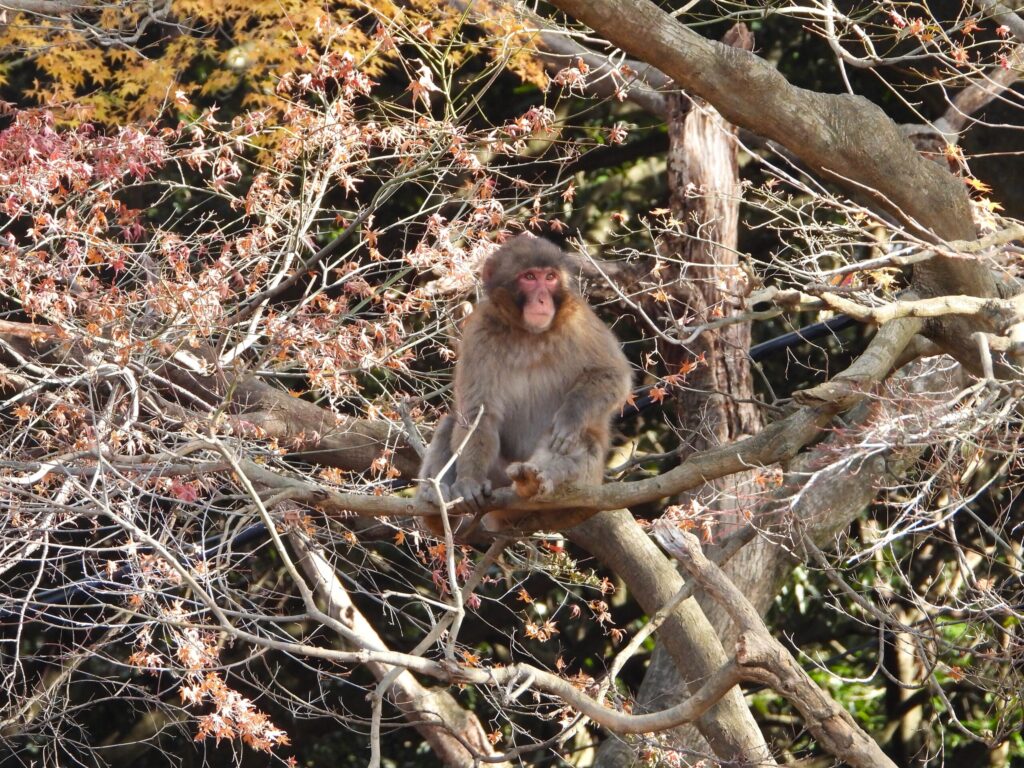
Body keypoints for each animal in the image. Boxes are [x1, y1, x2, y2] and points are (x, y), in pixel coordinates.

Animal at [417, 234, 631, 535]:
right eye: (530, 277)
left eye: (550, 277)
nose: (542, 299)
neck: (529, 333)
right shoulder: (480, 332)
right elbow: (477, 412)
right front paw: (469, 481)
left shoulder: (579, 320)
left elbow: (613, 374)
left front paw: (570, 417)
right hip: (499, 480)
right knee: (451, 423)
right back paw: (437, 504)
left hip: (583, 485)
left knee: (581, 441)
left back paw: (534, 481)